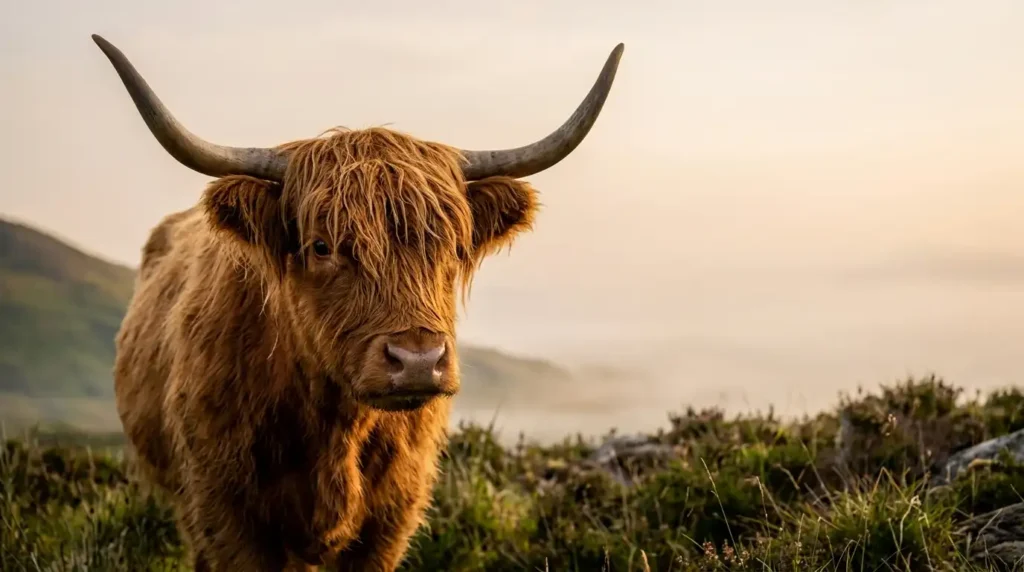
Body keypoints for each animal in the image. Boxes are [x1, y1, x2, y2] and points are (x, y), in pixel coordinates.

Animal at [92, 33, 623, 571]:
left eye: (454, 247)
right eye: (322, 246)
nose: (417, 360)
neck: (333, 427)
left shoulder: (391, 517)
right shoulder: (224, 511)